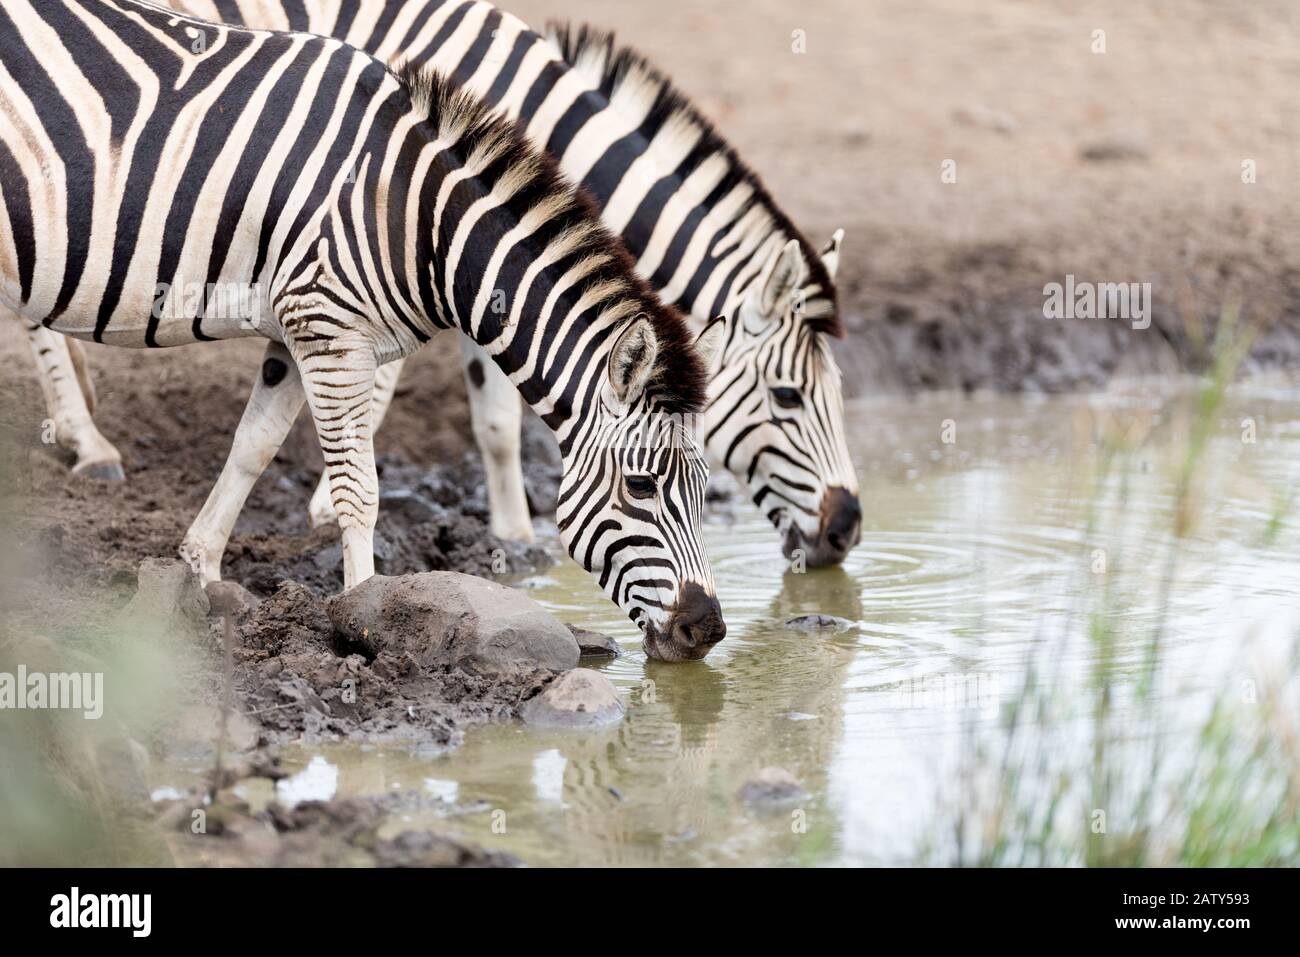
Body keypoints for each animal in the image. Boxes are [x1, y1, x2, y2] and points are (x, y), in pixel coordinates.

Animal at [0, 0, 728, 657]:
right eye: (641, 486)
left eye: (703, 486)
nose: (709, 630)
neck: (416, 219)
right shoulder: (331, 333)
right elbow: (359, 492)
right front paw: (363, 616)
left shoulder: (294, 332)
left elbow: (253, 445)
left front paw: (199, 570)